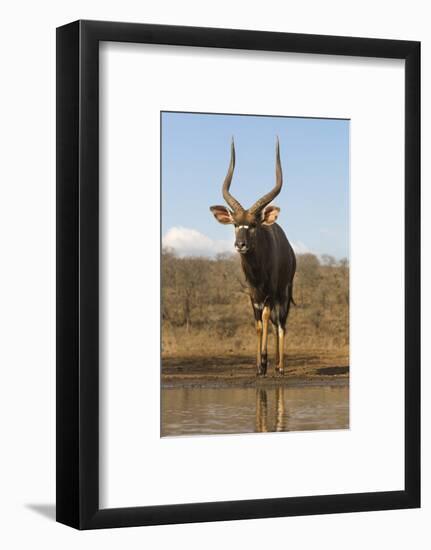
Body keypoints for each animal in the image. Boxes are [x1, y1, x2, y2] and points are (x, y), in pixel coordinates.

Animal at [210, 140, 296, 378]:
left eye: (253, 224)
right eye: (235, 224)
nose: (241, 244)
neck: (257, 273)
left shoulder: (269, 294)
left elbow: (266, 318)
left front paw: (265, 363)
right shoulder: (253, 296)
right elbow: (258, 324)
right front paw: (259, 366)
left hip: (284, 292)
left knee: (280, 323)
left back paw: (280, 367)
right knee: (275, 323)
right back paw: (274, 365)